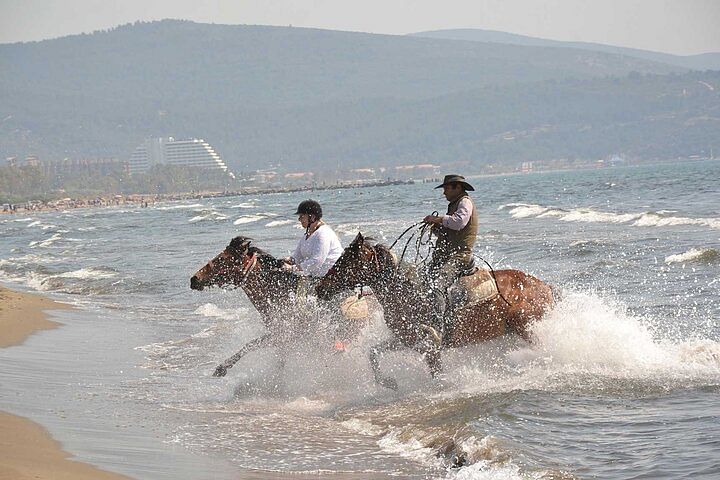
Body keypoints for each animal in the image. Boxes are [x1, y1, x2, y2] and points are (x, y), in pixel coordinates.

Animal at [190, 238, 356, 376]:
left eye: (223, 259)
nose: (194, 279)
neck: (280, 294)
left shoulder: (283, 336)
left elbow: (250, 345)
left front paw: (222, 368)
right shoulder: (282, 338)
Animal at [316, 233, 556, 390]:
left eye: (345, 261)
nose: (320, 288)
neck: (406, 292)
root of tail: (544, 286)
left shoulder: (429, 344)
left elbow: (436, 371)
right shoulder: (406, 339)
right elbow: (373, 352)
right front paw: (389, 383)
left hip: (525, 326)